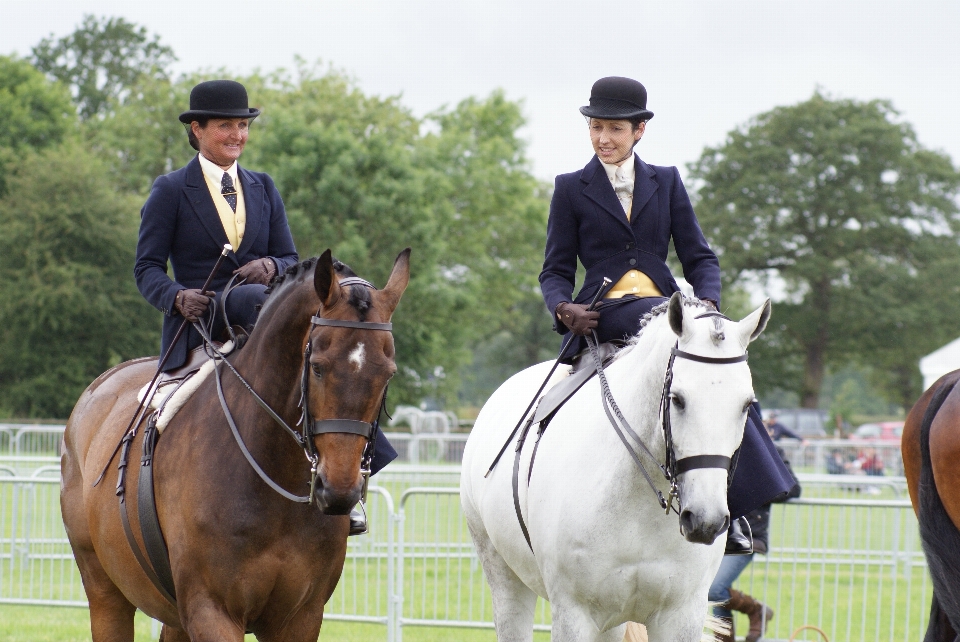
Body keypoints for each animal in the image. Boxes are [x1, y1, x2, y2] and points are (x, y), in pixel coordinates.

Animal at [61, 248, 408, 636]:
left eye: (388, 373)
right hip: (107, 594)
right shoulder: (211, 610)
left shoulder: (302, 616)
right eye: (318, 367)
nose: (338, 492)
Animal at [462, 294, 768, 640]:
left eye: (746, 405)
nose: (706, 520)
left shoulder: (681, 614)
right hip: (504, 576)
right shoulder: (574, 613)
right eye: (677, 399)